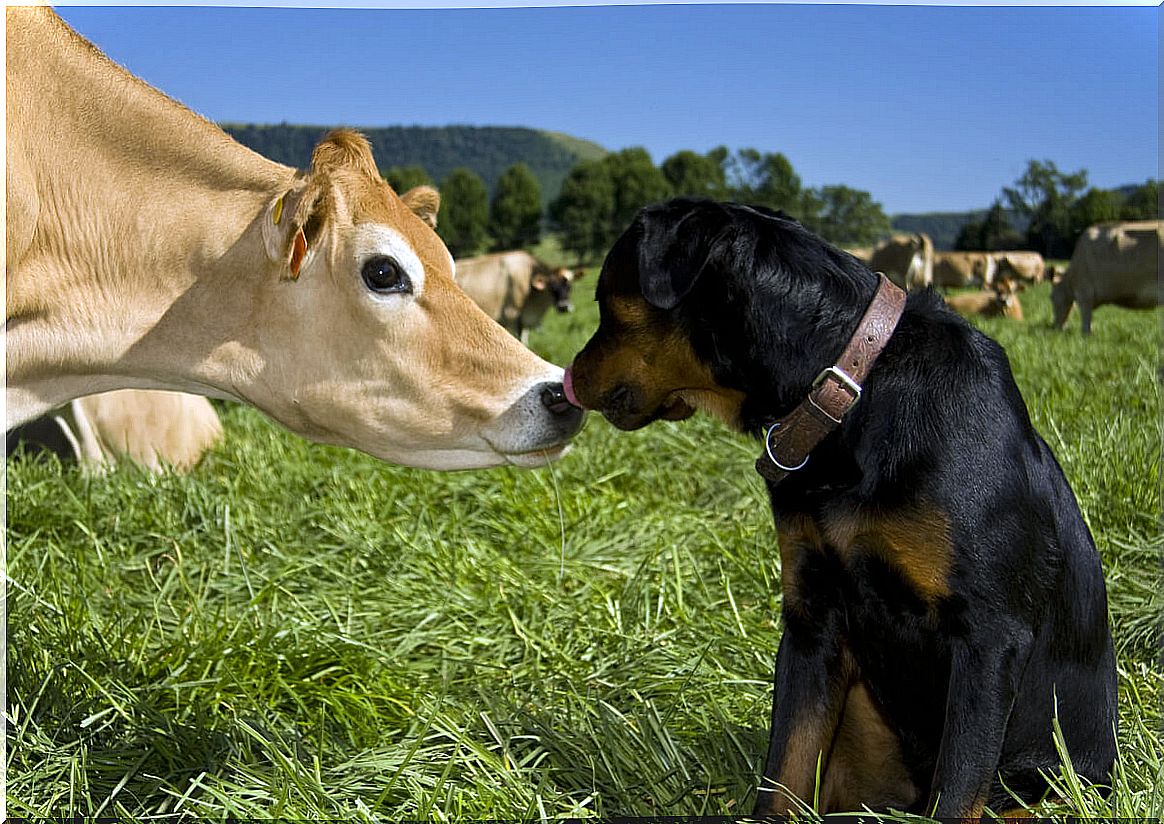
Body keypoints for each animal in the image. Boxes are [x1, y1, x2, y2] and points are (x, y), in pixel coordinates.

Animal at [563, 197, 1117, 819]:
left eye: (605, 302)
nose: (568, 377)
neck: (851, 395)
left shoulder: (989, 636)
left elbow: (956, 790)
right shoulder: (813, 620)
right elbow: (783, 772)